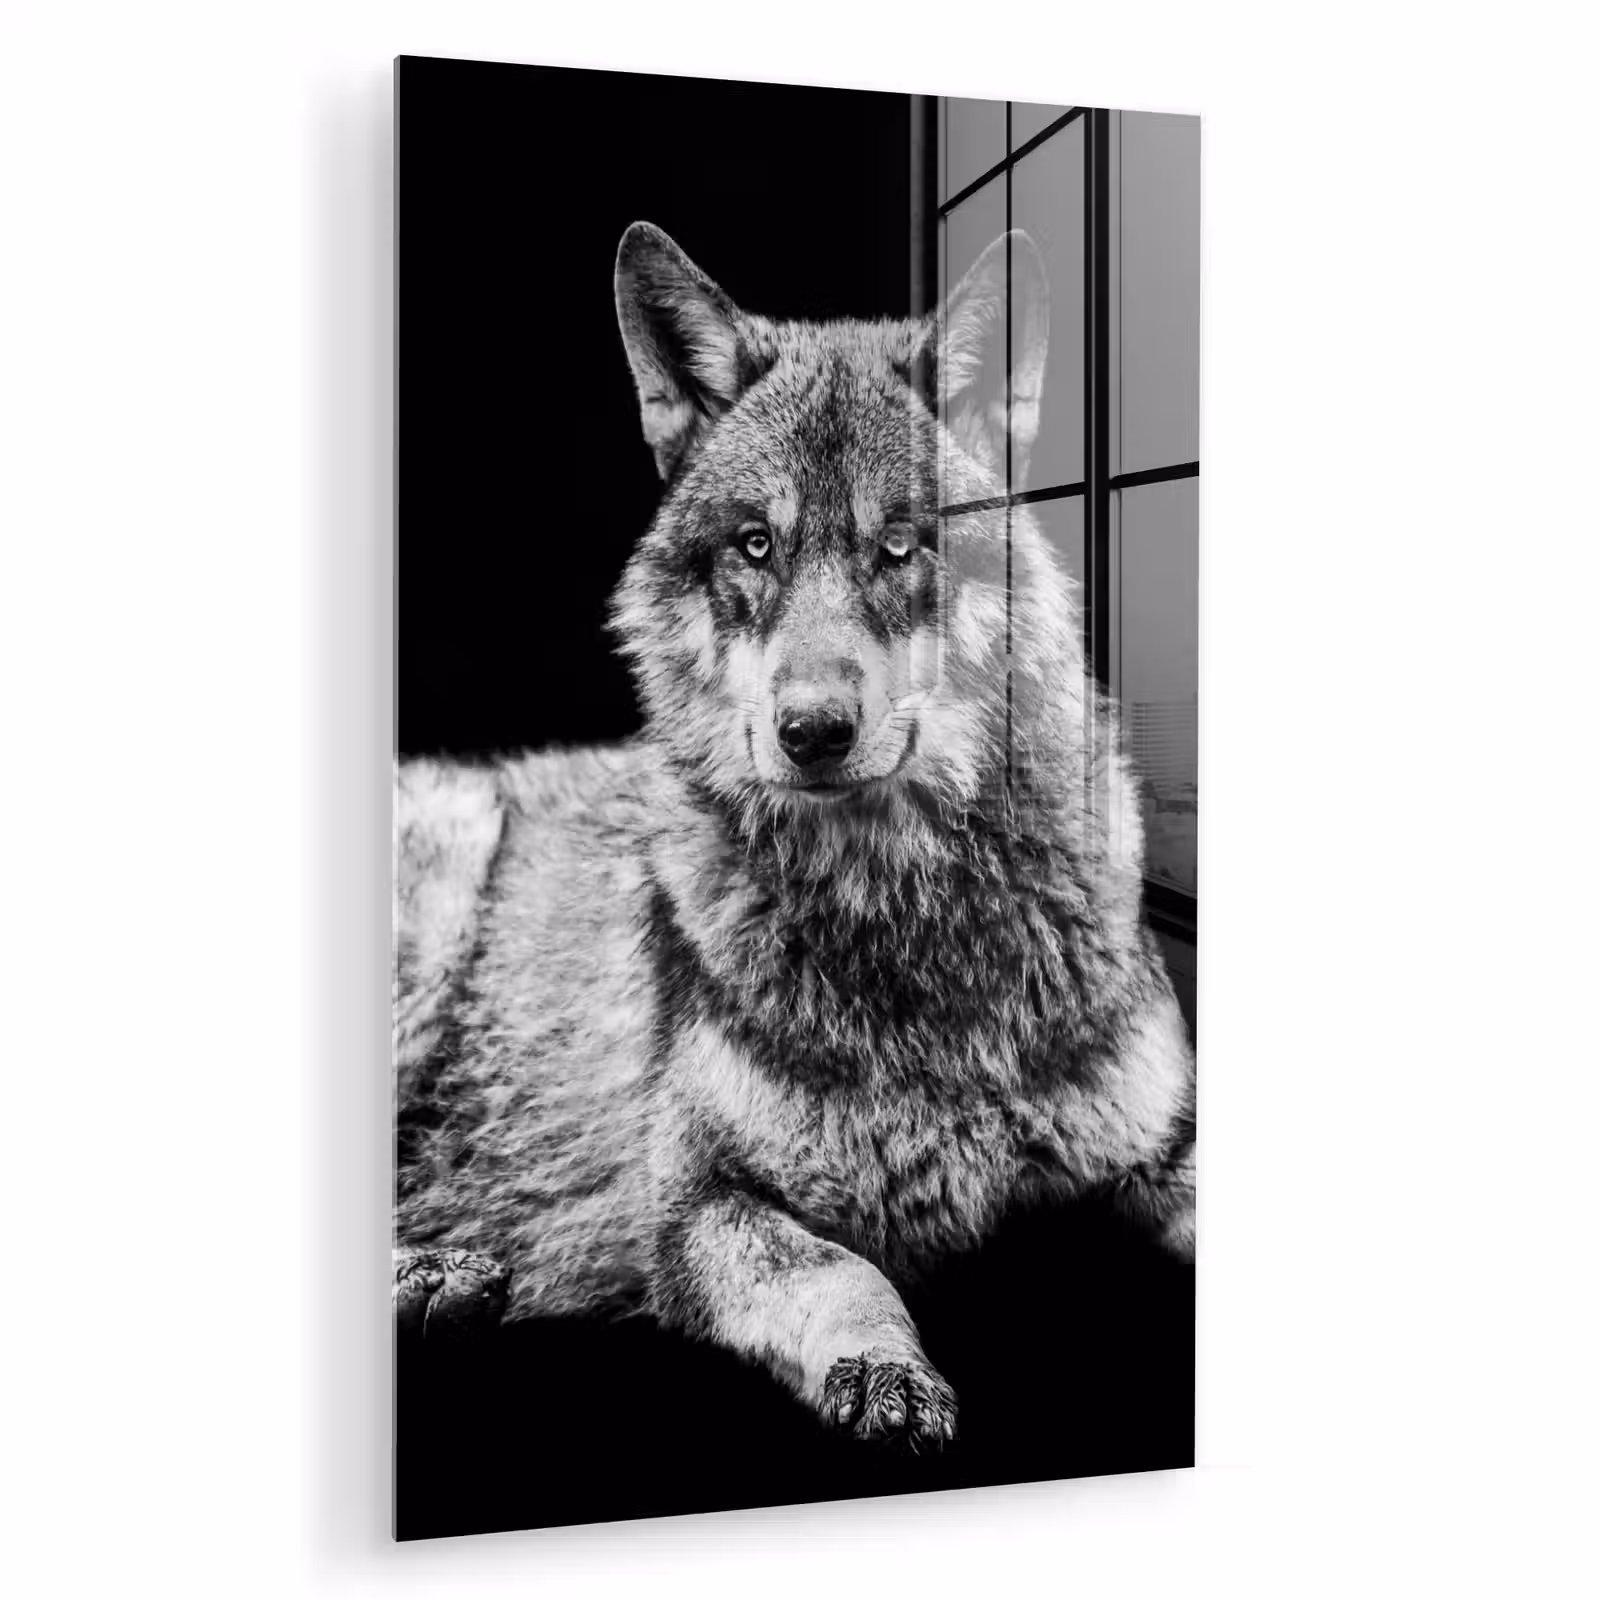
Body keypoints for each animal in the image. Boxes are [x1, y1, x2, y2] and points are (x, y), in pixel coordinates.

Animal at [394, 221, 1196, 1449]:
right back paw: (437, 1278)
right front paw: (885, 1370)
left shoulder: (1163, 1148)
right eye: (756, 546)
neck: (903, 919)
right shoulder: (699, 1206)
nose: (811, 733)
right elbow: (842, 1270)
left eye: (899, 545)